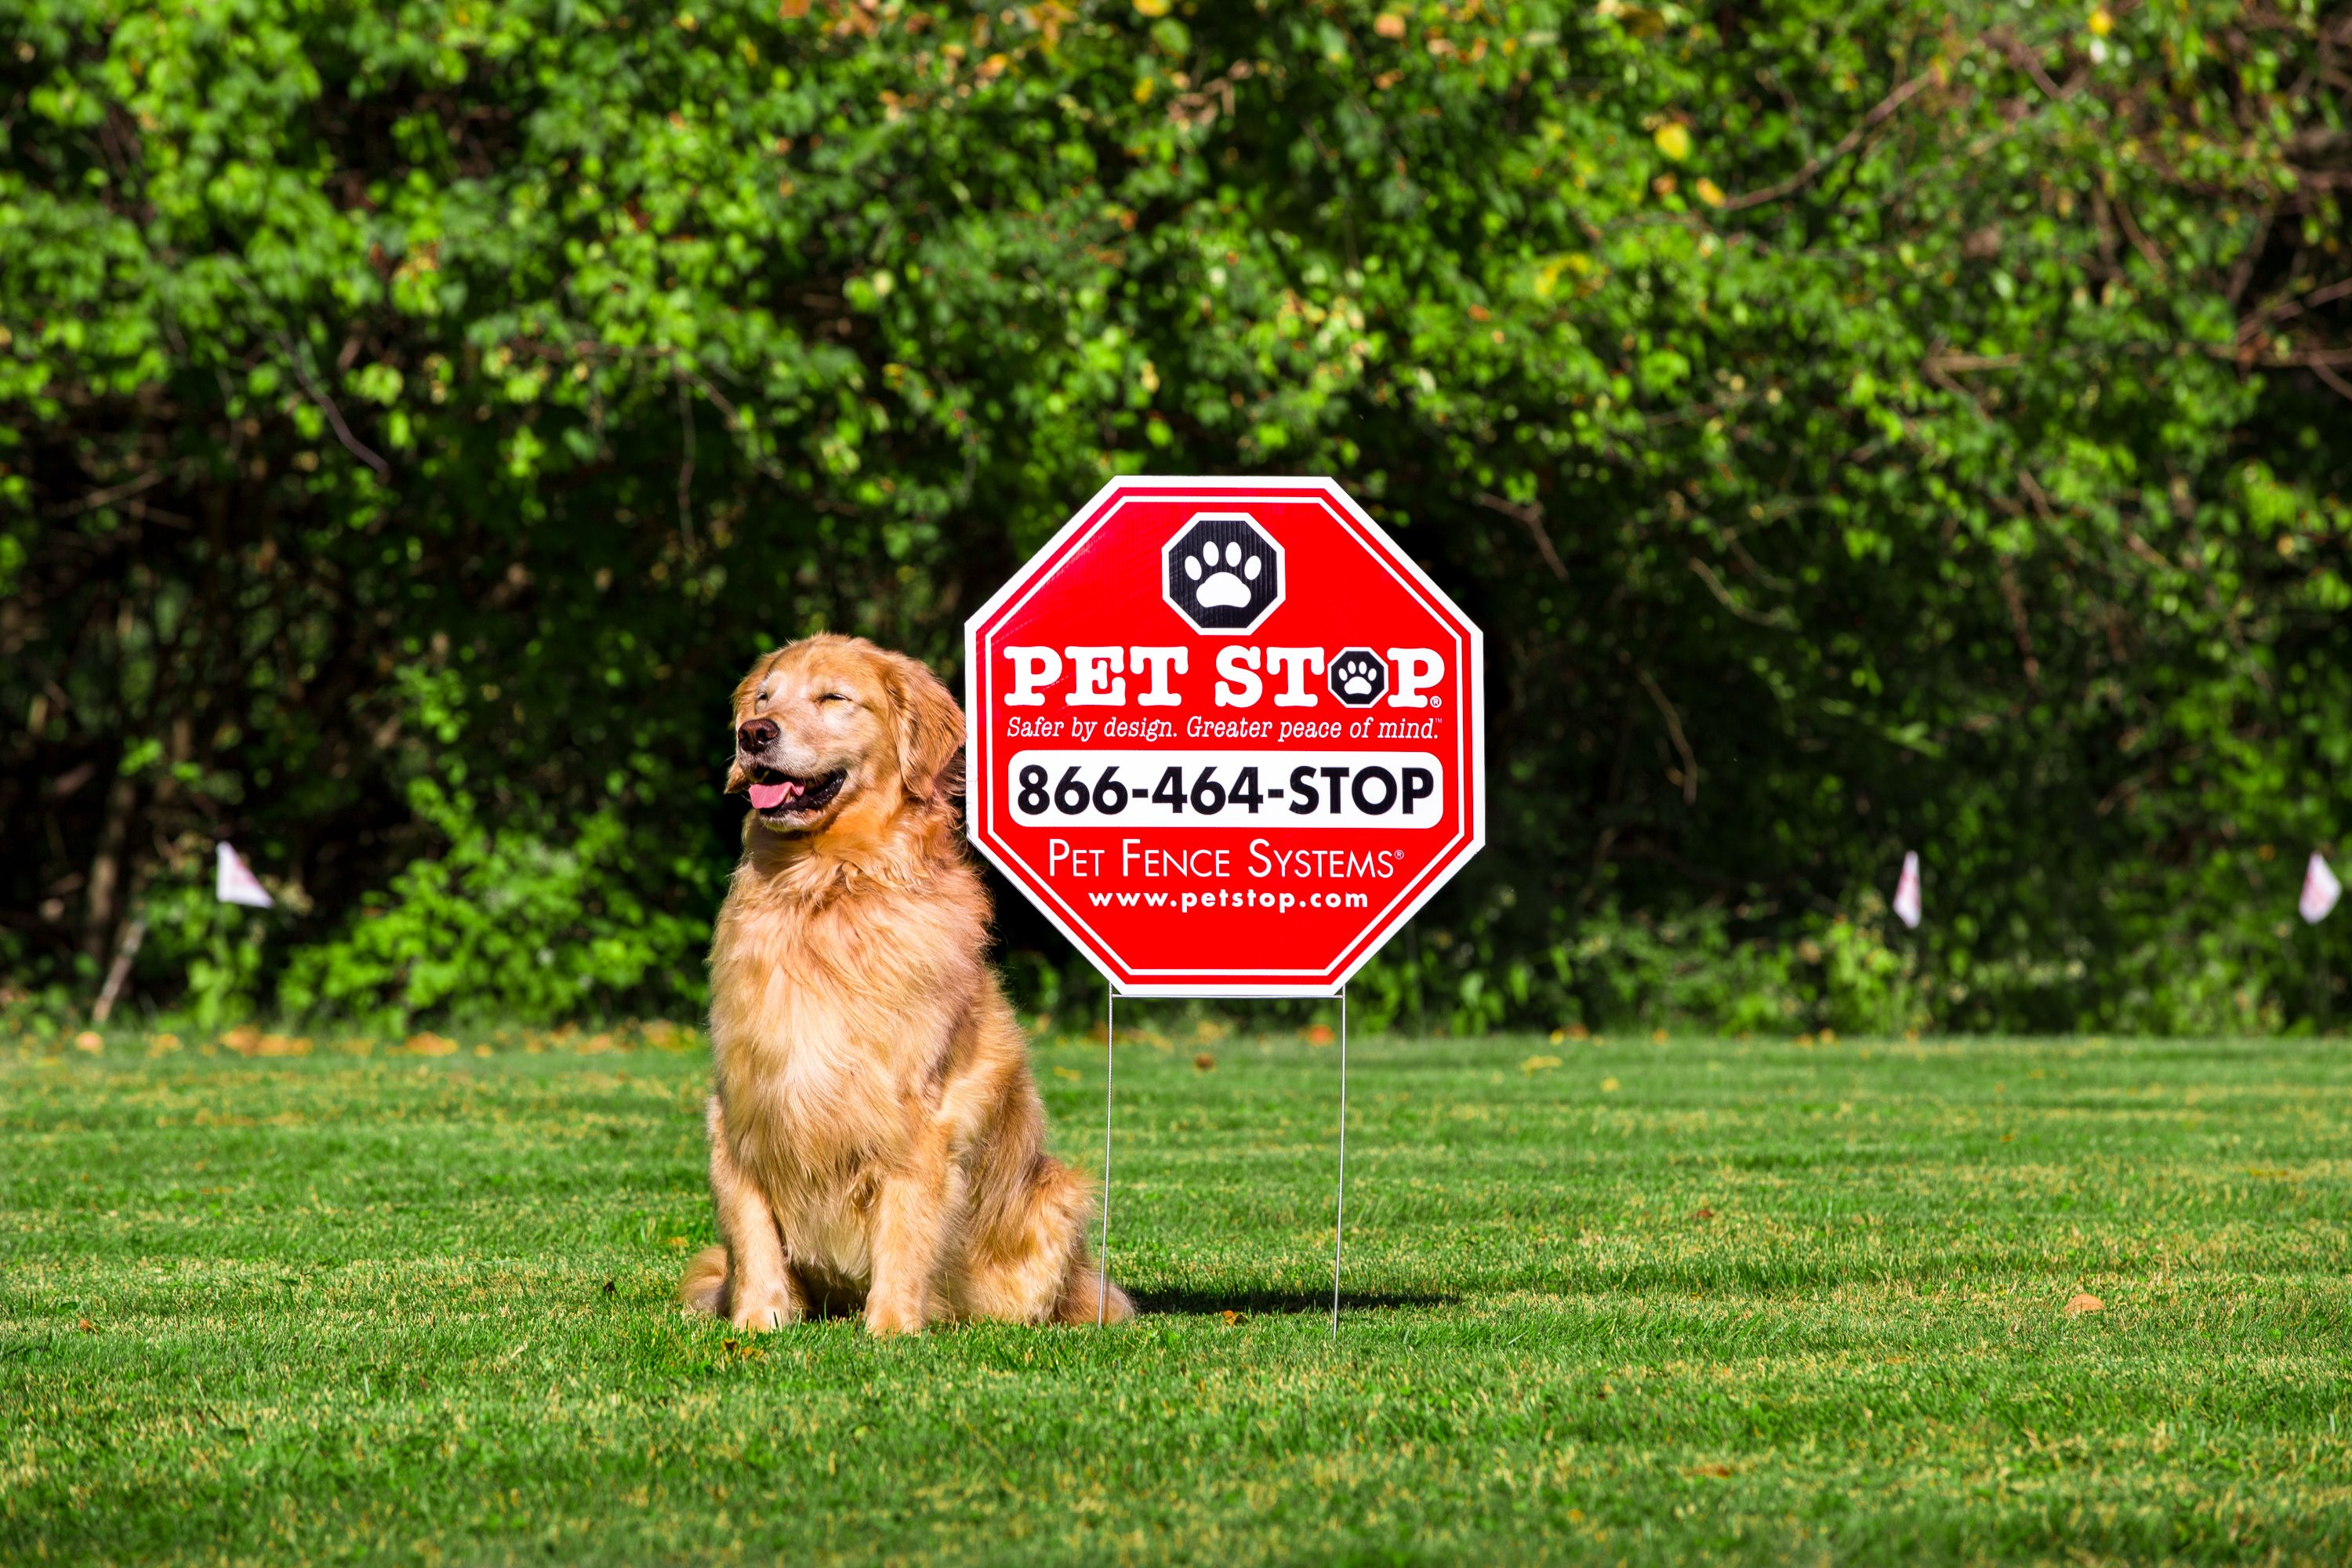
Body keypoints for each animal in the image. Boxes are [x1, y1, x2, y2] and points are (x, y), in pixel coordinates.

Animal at [682, 630, 1129, 1335]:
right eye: (764, 698)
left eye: (833, 698)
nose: (754, 734)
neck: (830, 886)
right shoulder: (743, 1109)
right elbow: (752, 1233)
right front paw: (757, 1321)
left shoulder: (916, 1117)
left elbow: (905, 1230)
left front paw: (891, 1327)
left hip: (1057, 1198)